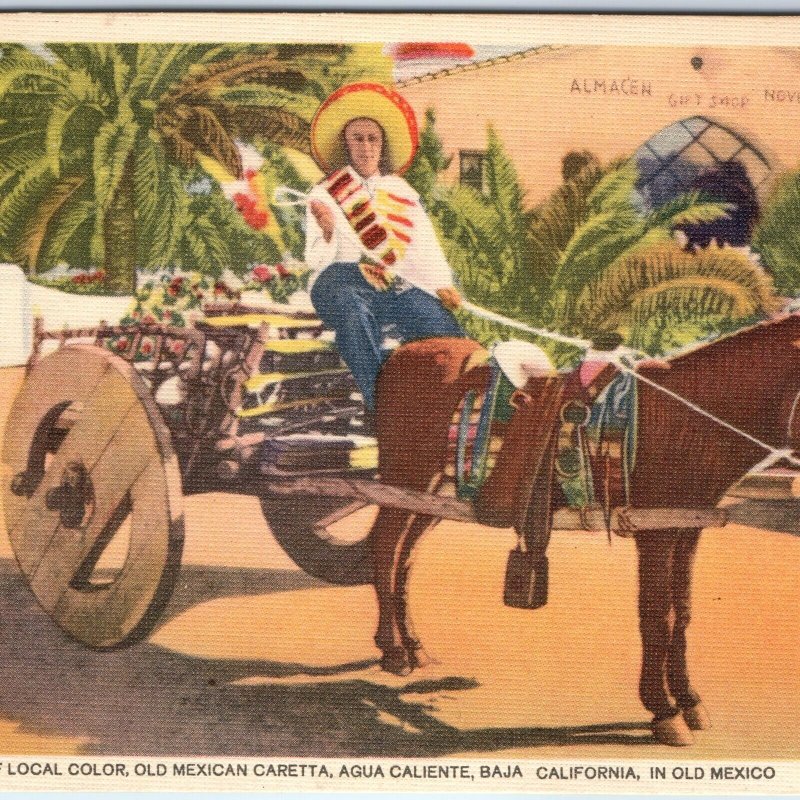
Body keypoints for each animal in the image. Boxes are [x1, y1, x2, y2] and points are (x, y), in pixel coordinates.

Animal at [368, 310, 800, 744]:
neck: (688, 419)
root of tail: (400, 356)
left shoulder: (687, 529)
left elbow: (683, 615)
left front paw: (689, 701)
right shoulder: (655, 533)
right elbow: (657, 618)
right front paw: (663, 710)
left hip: (436, 492)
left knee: (406, 559)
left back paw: (414, 647)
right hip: (405, 480)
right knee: (385, 549)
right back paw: (393, 652)